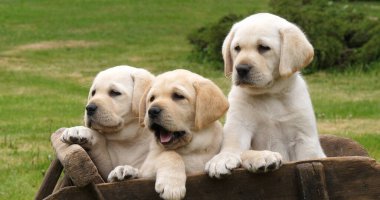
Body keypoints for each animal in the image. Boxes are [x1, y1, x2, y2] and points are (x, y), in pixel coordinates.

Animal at [108, 69, 230, 200]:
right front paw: (171, 186)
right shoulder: (148, 169)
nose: (152, 111)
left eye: (178, 96)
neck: (191, 149)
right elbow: (169, 154)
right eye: (152, 98)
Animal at [206, 13, 326, 177]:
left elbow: (308, 157)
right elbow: (232, 145)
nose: (241, 68)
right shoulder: (239, 125)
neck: (269, 94)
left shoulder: (304, 137)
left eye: (263, 48)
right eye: (237, 48)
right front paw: (222, 159)